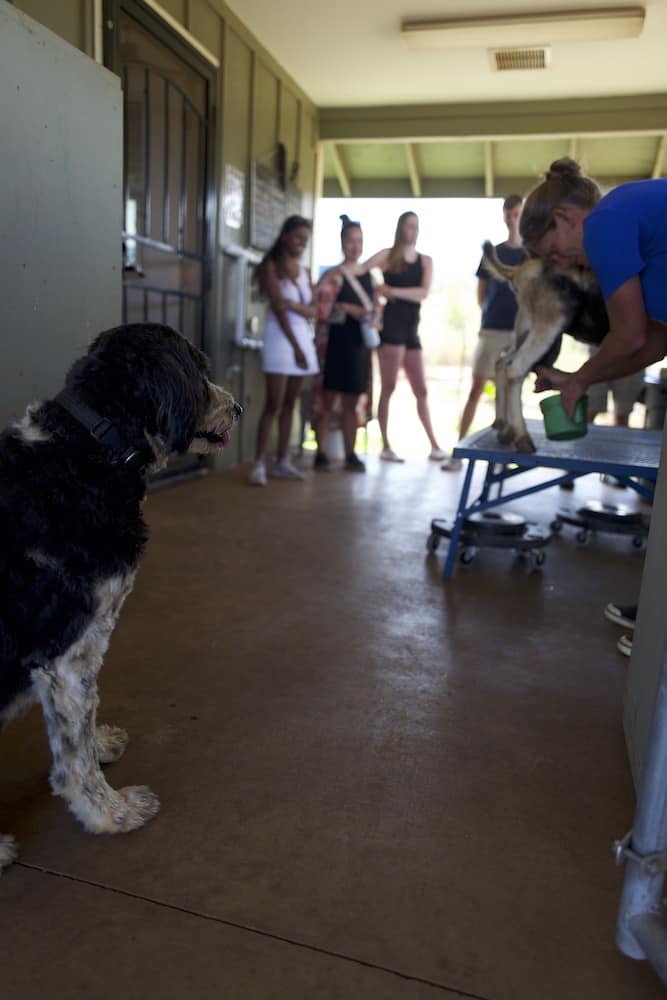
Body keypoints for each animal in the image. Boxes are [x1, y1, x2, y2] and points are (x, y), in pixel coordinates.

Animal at [1, 324, 241, 872]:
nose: (238, 407)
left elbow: (82, 722)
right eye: (197, 369)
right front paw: (111, 813)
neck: (89, 449)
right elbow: (76, 757)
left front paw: (102, 743)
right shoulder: (69, 652)